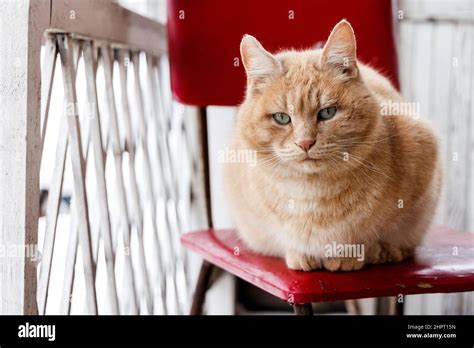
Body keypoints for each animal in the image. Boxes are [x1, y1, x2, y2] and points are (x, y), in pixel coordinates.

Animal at [224, 19, 442, 272]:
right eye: (282, 118)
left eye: (327, 113)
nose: (305, 142)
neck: (312, 193)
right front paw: (301, 255)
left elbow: (378, 237)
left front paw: (362, 253)